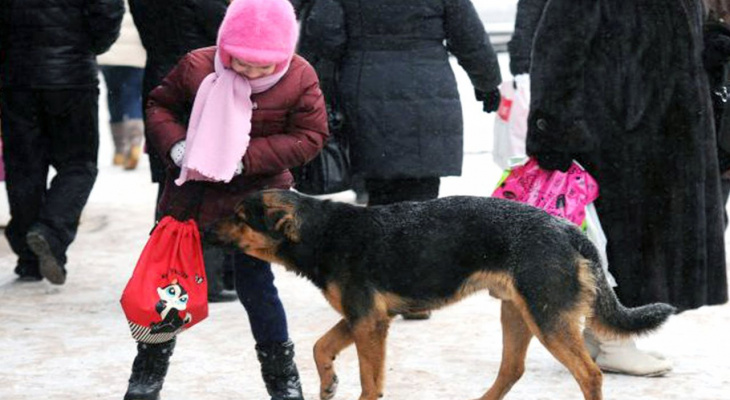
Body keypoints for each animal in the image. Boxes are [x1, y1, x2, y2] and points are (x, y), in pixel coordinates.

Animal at [213, 190, 672, 400]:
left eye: (239, 217)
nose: (206, 229)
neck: (322, 231)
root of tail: (568, 230)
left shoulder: (368, 322)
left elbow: (369, 380)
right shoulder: (364, 318)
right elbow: (320, 347)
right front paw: (328, 383)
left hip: (546, 318)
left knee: (589, 374)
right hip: (518, 313)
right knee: (512, 370)